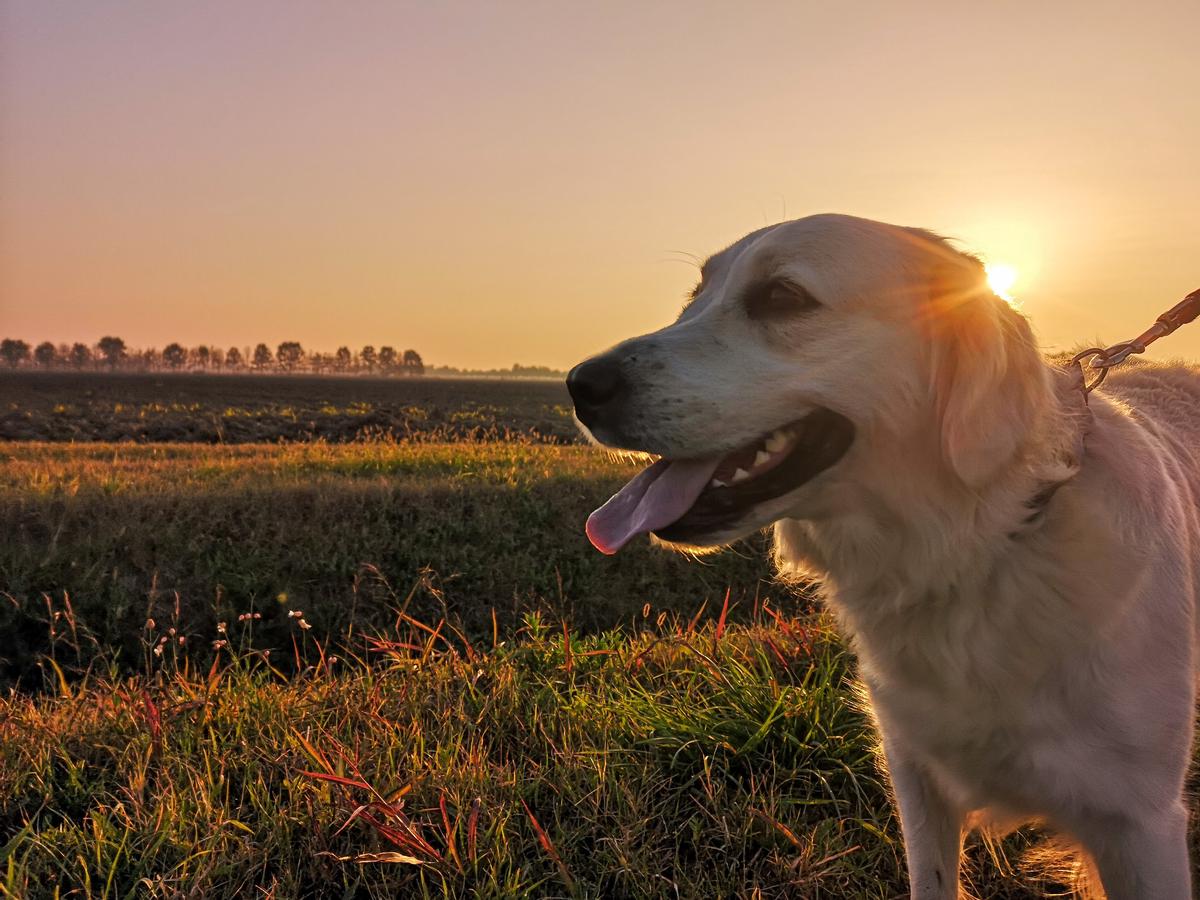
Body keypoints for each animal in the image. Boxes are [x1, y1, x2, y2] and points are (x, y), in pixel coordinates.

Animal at [568, 214, 1200, 897]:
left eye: (782, 297)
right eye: (695, 297)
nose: (580, 385)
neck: (980, 550)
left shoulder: (1141, 821)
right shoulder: (918, 778)